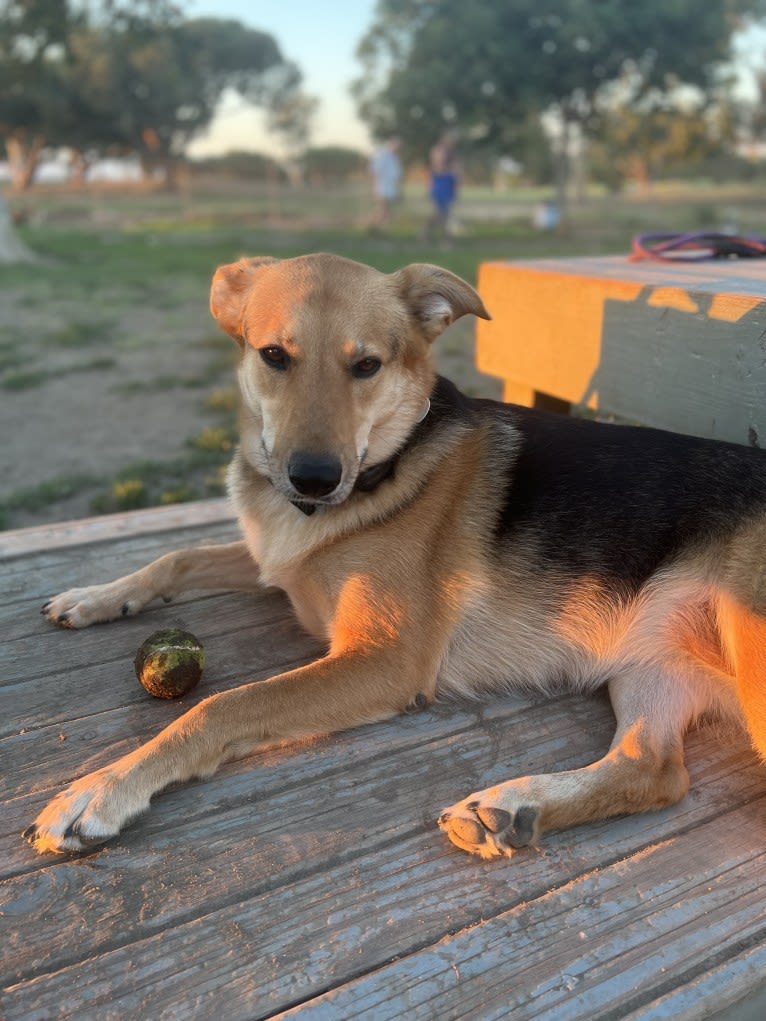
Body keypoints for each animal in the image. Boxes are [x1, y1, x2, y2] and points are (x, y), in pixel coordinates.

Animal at [24, 251, 766, 857]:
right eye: (273, 356)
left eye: (367, 366)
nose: (313, 479)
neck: (389, 460)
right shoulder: (275, 565)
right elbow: (176, 556)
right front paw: (96, 596)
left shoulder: (383, 658)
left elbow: (223, 705)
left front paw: (102, 788)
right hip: (650, 667)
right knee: (657, 770)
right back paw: (515, 808)